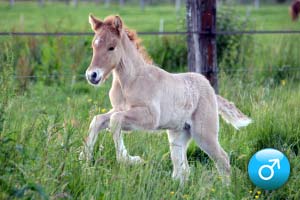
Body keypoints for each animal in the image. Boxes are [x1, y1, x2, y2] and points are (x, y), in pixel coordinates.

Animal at [78, 14, 252, 183]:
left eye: (111, 47)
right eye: (94, 46)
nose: (92, 75)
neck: (131, 81)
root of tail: (212, 92)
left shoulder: (149, 117)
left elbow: (115, 120)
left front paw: (131, 159)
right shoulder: (119, 109)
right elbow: (98, 119)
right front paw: (83, 158)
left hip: (204, 133)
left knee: (222, 159)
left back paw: (226, 188)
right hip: (179, 134)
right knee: (182, 169)